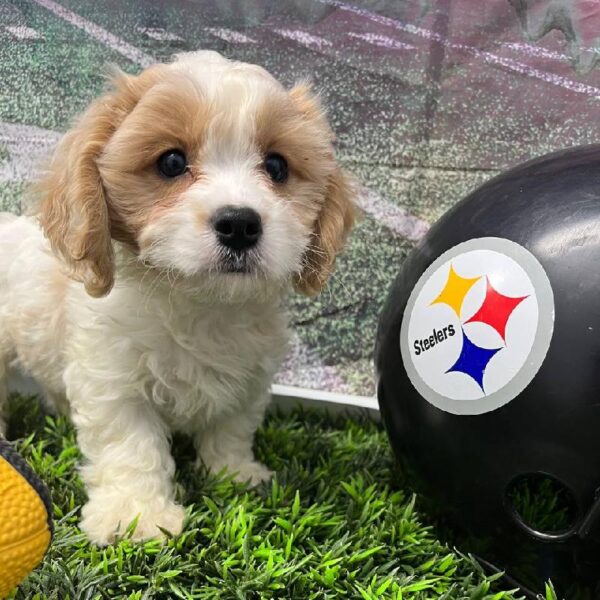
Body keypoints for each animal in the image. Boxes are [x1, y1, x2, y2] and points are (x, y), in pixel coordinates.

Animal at [0, 51, 356, 544]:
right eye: (171, 162)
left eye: (277, 167)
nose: (240, 223)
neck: (199, 304)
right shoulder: (113, 382)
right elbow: (131, 447)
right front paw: (135, 515)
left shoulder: (250, 378)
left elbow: (231, 427)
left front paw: (234, 474)